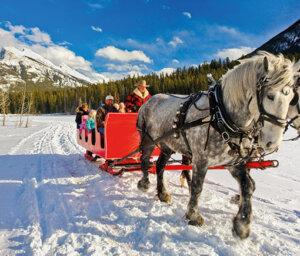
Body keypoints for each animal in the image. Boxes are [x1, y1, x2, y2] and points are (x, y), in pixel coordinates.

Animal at [137, 52, 300, 240]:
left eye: (291, 98)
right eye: (270, 96)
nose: (272, 143)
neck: (221, 115)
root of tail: (149, 100)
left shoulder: (233, 161)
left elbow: (248, 186)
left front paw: (242, 224)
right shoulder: (201, 159)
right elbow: (198, 187)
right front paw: (194, 216)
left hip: (167, 144)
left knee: (160, 165)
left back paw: (163, 193)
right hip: (148, 139)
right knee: (145, 160)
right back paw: (144, 184)